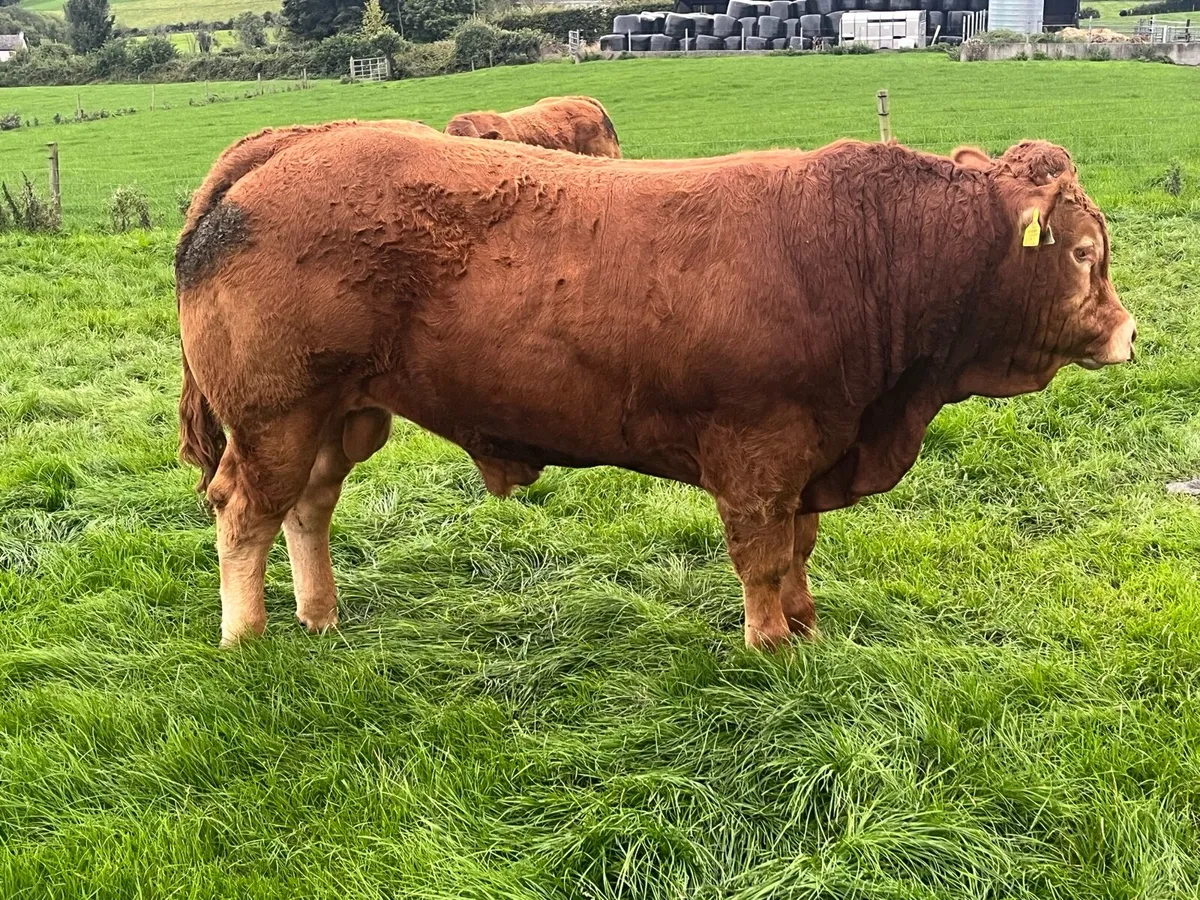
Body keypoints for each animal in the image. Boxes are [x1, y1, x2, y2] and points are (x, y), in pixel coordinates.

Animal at [176, 127, 1135, 649]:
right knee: (243, 513)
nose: (1129, 332)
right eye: (1086, 253)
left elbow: (799, 550)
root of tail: (296, 140)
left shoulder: (815, 454)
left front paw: (806, 624)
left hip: (343, 414)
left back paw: (321, 615)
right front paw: (770, 645)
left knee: (306, 507)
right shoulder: (759, 453)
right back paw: (247, 636)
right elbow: (762, 555)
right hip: (273, 414)